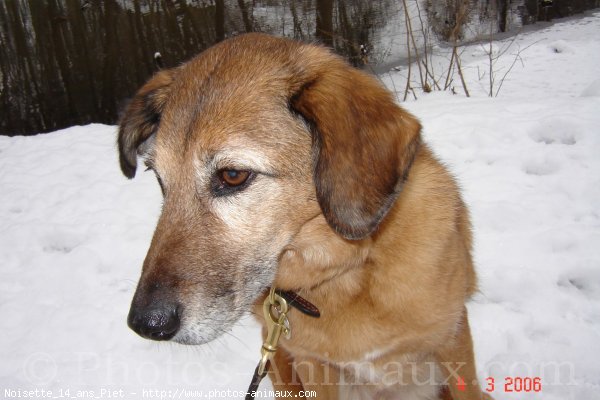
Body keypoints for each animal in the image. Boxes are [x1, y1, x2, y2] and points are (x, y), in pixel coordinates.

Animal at [118, 32, 492, 398]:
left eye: (233, 175)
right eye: (159, 178)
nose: (146, 324)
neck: (349, 273)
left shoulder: (453, 339)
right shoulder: (313, 366)